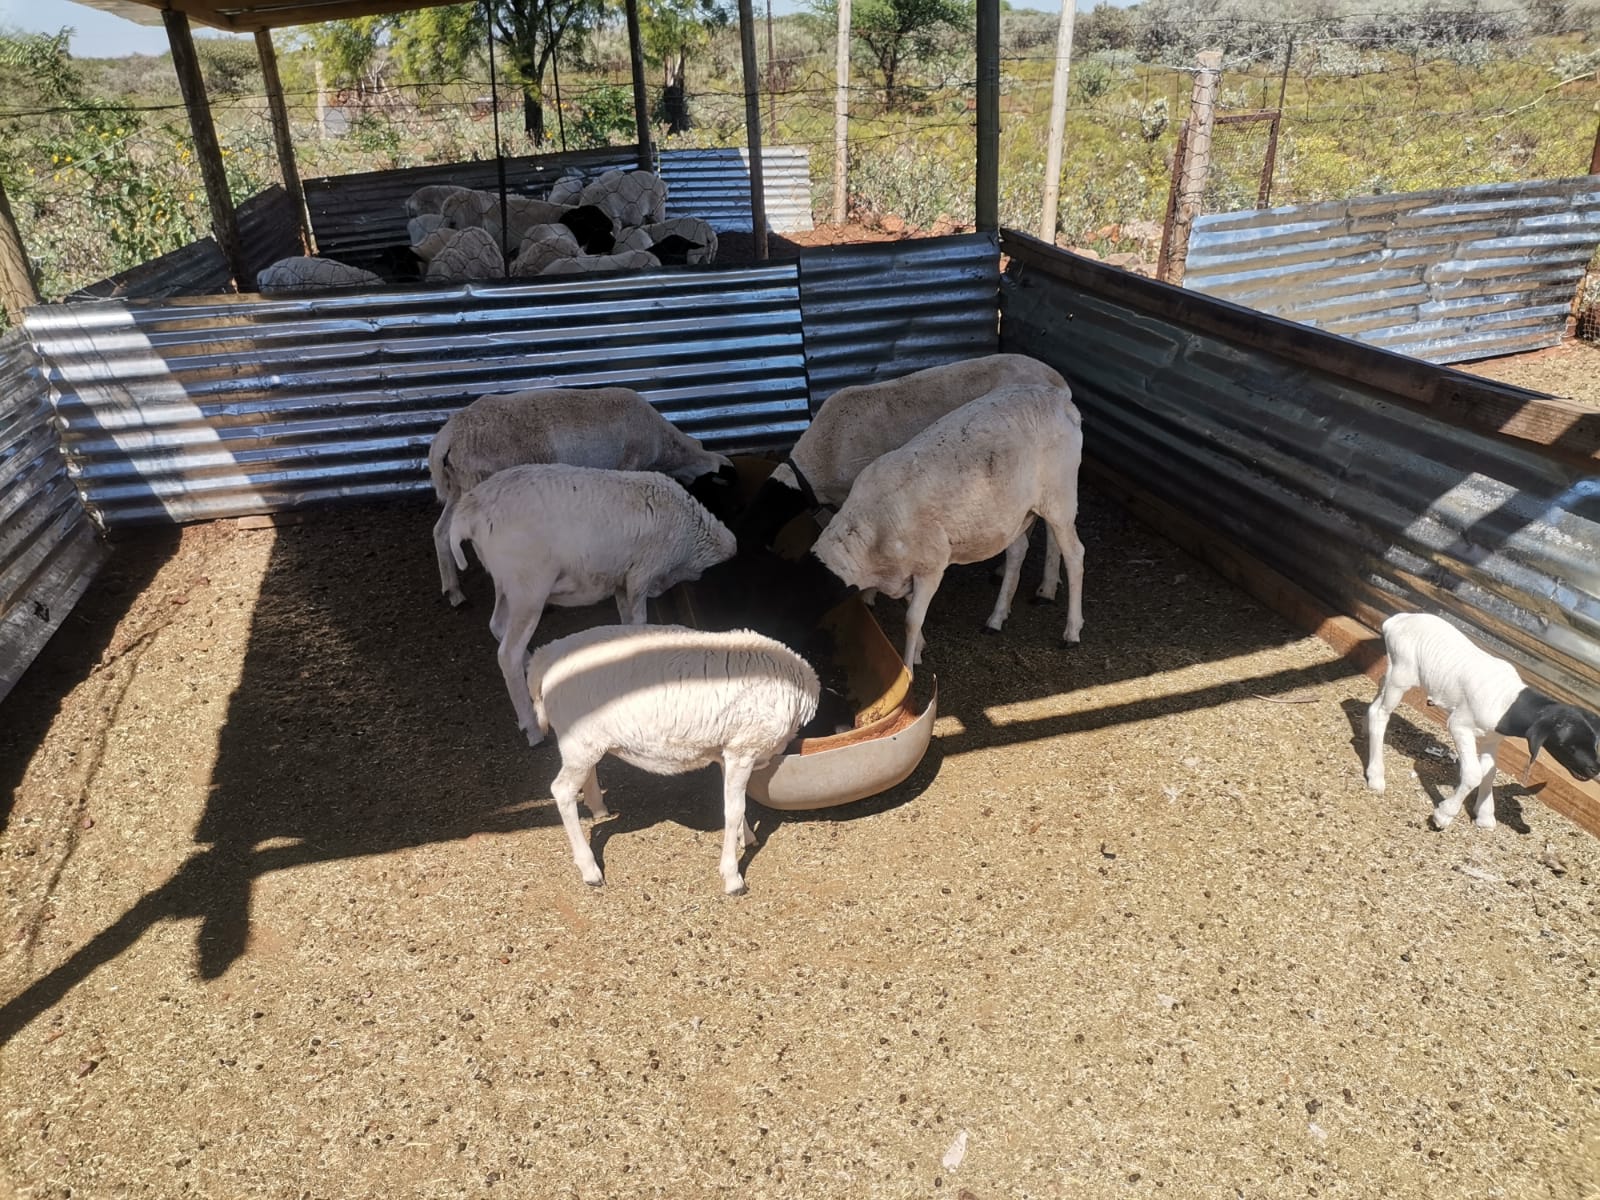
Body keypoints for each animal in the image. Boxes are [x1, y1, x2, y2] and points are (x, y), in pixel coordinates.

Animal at [428, 386, 738, 606]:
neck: (665, 445)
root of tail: (449, 435)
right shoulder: (628, 465)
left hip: (458, 485)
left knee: (441, 531)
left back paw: (453, 591)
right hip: (480, 483)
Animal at [450, 466, 737, 742]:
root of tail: (468, 510)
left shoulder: (622, 581)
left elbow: (627, 625)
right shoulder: (641, 575)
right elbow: (640, 623)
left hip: (505, 584)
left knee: (497, 625)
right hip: (528, 587)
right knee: (508, 654)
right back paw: (532, 727)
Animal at [527, 624, 819, 893]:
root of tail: (546, 656)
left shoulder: (727, 751)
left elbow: (737, 804)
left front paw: (745, 837)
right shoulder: (743, 749)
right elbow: (734, 809)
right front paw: (733, 877)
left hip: (583, 741)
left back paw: (597, 807)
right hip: (577, 739)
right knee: (562, 790)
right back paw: (590, 869)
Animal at [781, 382, 1085, 671]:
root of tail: (1061, 401)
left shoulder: (932, 566)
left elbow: (911, 620)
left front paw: (907, 670)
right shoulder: (906, 572)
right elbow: (908, 606)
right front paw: (918, 651)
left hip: (1059, 497)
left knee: (1074, 554)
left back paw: (1071, 631)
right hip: (1011, 514)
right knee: (1017, 551)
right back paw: (996, 618)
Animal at [1365, 612, 1600, 829]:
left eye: (1594, 741)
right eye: (1566, 745)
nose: (1594, 770)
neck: (1507, 701)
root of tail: (1396, 621)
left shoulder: (1491, 739)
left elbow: (1490, 770)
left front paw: (1484, 815)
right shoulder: (1459, 725)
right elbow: (1473, 774)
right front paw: (1443, 815)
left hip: (1393, 670)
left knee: (1378, 694)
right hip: (1402, 674)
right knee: (1381, 713)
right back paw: (1376, 777)